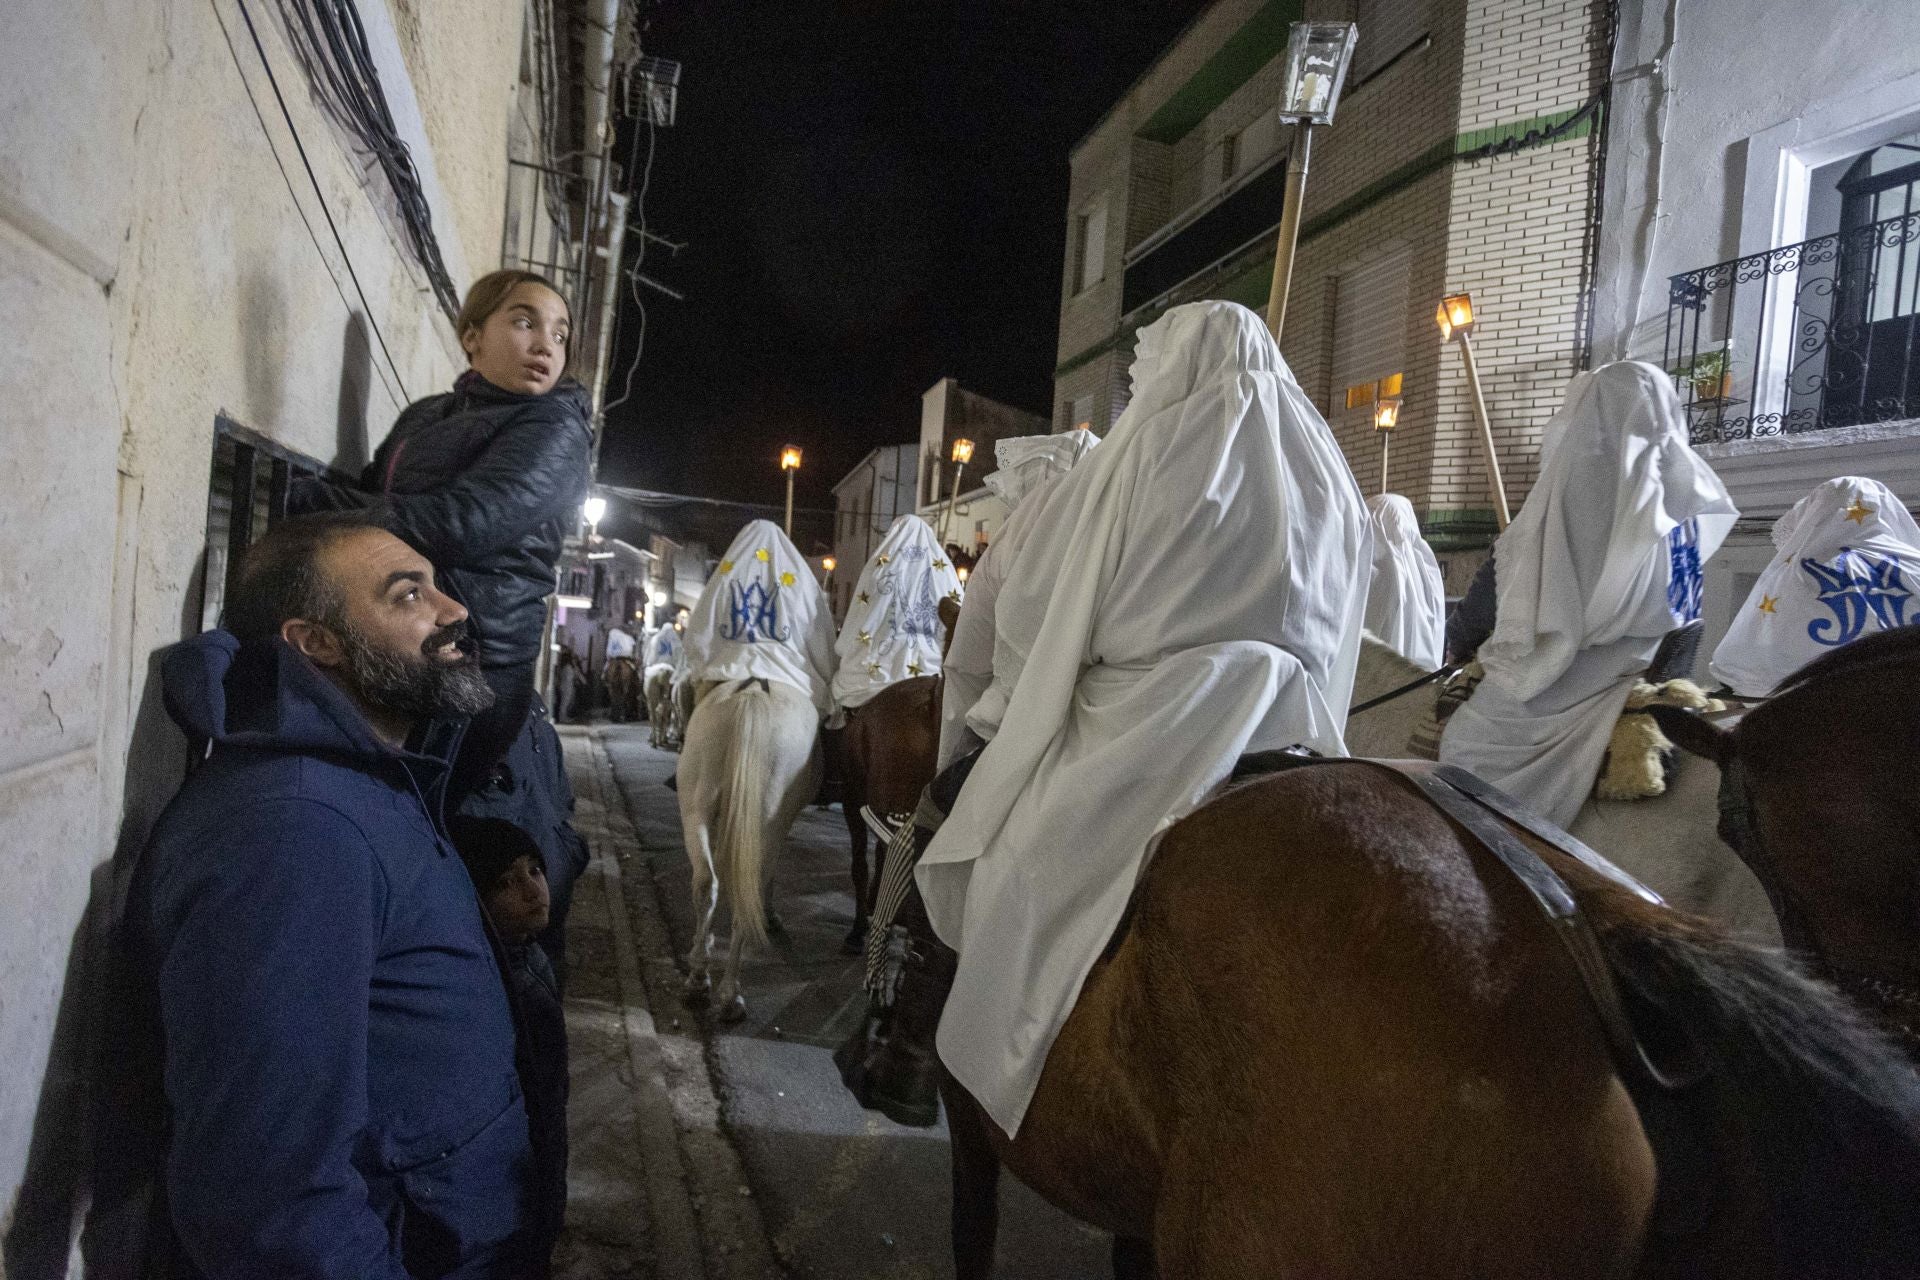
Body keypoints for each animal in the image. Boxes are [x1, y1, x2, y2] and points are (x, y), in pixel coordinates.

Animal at [679, 679, 821, 1020]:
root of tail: (753, 693)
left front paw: (702, 943)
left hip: (696, 806)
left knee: (705, 881)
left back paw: (698, 977)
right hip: (768, 818)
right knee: (747, 893)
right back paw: (731, 996)